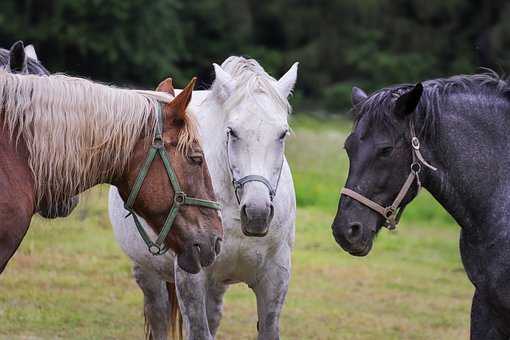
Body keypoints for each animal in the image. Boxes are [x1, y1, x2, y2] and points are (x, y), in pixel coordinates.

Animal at [109, 57, 296, 338]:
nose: (257, 213)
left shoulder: (275, 278)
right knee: (159, 315)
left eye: (282, 133)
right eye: (232, 132)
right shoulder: (191, 277)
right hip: (148, 273)